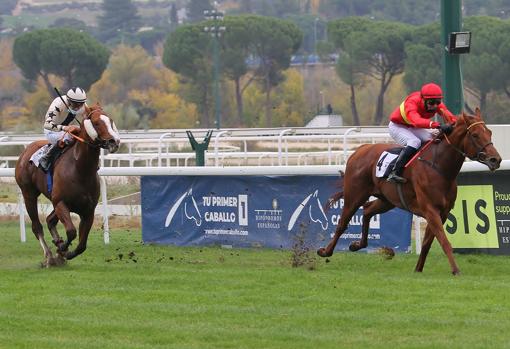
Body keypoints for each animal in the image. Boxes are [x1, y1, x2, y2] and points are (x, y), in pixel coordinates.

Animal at [15, 104, 120, 266]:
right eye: (96, 123)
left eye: (111, 121)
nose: (114, 141)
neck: (80, 170)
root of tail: (26, 150)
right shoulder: (61, 203)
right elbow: (71, 231)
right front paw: (62, 248)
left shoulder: (88, 210)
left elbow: (82, 245)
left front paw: (65, 251)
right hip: (29, 194)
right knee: (37, 226)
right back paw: (49, 256)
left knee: (49, 220)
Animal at [318, 109, 502, 274]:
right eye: (475, 135)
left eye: (490, 132)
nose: (496, 159)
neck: (439, 167)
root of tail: (359, 150)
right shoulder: (430, 209)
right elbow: (444, 241)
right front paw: (456, 270)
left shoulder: (442, 212)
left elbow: (428, 243)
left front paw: (418, 269)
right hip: (355, 195)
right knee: (342, 223)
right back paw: (325, 251)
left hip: (387, 200)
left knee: (368, 209)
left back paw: (357, 245)